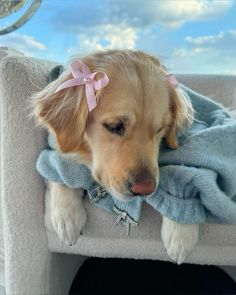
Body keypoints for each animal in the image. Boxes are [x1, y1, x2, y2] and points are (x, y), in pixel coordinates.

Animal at [31, 49, 199, 264]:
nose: (145, 189)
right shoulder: (56, 146)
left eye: (160, 129)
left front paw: (181, 235)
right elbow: (57, 170)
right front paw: (66, 217)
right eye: (115, 126)